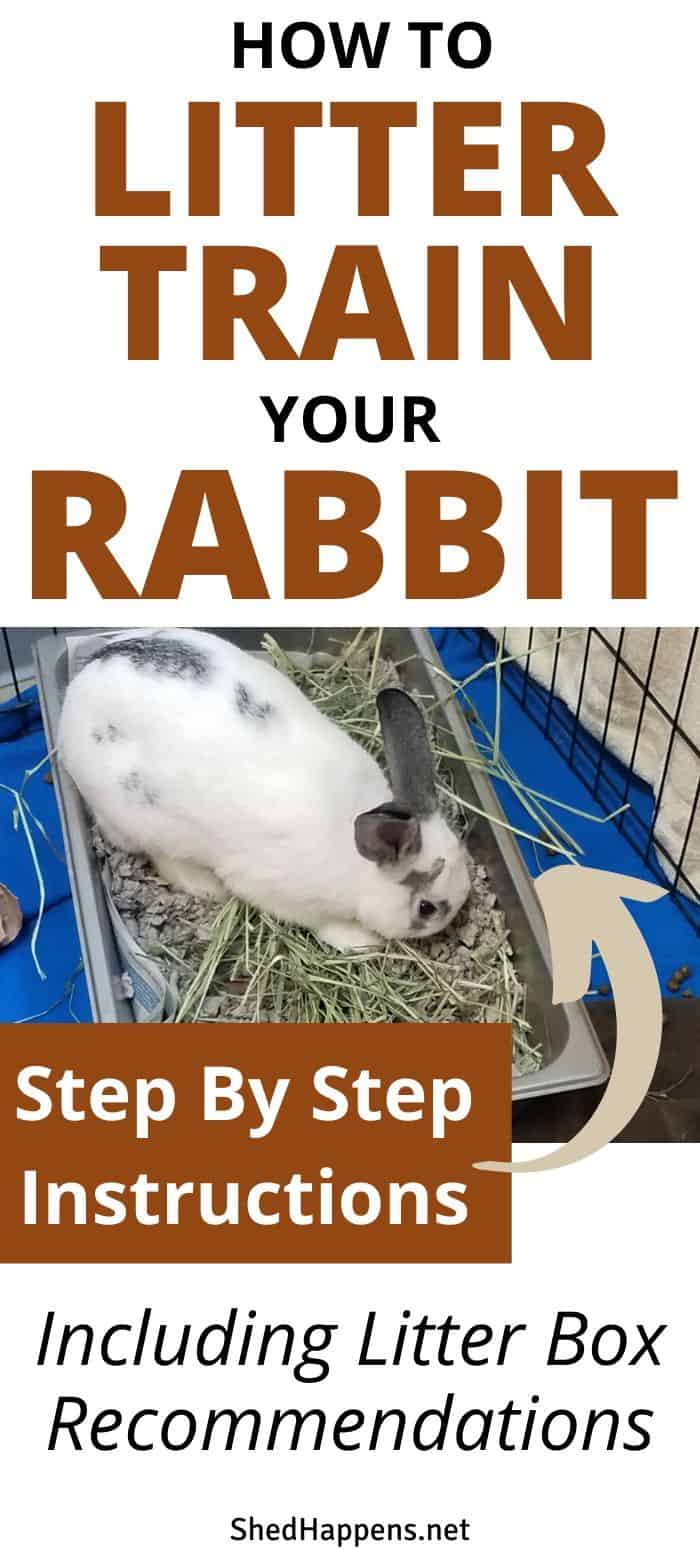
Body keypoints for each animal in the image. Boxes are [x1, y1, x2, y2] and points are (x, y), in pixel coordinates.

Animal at [58, 629, 471, 951]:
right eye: (426, 908)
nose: (452, 921)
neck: (358, 863)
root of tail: (80, 684)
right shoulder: (287, 897)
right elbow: (326, 925)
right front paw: (362, 942)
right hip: (139, 819)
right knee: (162, 857)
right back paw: (207, 887)